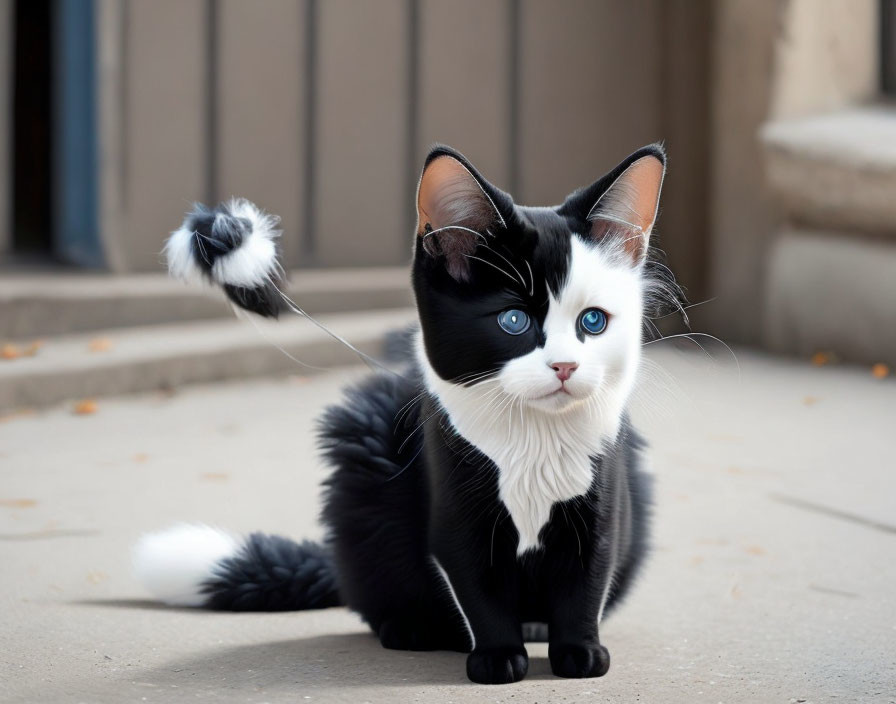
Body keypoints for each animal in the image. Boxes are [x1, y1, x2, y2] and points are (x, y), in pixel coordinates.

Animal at [136, 140, 668, 684]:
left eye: (594, 322)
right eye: (514, 320)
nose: (565, 365)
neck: (532, 442)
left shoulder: (606, 494)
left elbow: (588, 577)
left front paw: (580, 651)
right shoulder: (451, 493)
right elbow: (475, 583)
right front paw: (497, 655)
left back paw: (534, 627)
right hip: (367, 470)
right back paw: (411, 628)